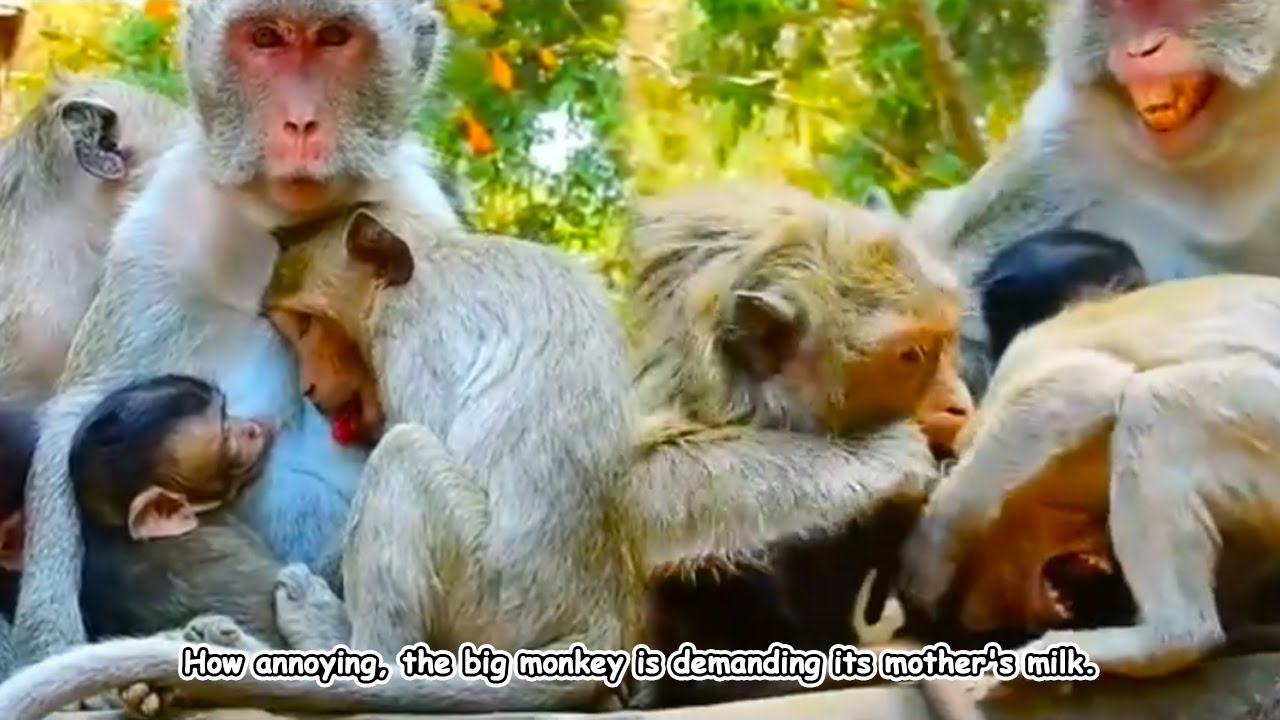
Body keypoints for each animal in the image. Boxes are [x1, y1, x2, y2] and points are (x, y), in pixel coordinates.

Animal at [896, 274, 1280, 694]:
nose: (1030, 618)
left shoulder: (1017, 370)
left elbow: (1081, 388)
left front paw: (927, 561)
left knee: (1153, 406)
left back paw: (1171, 637)